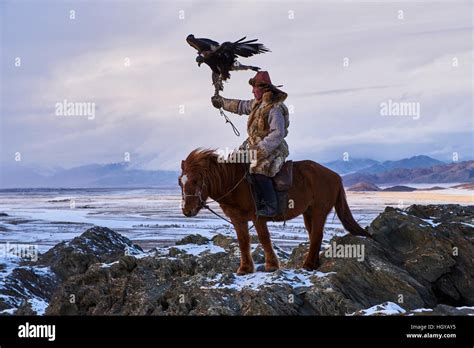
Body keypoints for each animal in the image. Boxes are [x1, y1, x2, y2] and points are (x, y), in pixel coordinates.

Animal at [178, 148, 370, 276]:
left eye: (196, 181)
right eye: (181, 182)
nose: (187, 211)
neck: (235, 184)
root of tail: (335, 176)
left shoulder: (258, 217)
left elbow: (264, 238)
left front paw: (271, 265)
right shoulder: (238, 219)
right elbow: (243, 241)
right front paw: (244, 268)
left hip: (319, 211)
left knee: (316, 235)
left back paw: (308, 264)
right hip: (308, 213)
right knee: (314, 235)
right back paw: (313, 263)